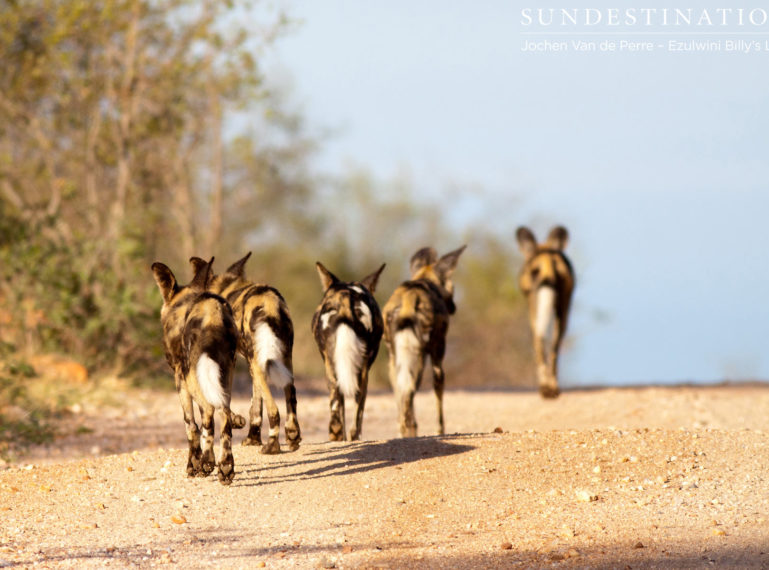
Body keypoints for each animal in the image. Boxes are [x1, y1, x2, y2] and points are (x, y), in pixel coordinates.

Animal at [151, 258, 243, 484]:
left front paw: (193, 465)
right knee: (223, 415)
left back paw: (207, 463)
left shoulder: (180, 379)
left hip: (191, 376)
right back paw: (225, 467)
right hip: (226, 370)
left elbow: (191, 426)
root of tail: (211, 312)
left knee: (209, 413)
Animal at [189, 253, 300, 452]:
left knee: (273, 409)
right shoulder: (252, 364)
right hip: (282, 359)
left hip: (259, 364)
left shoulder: (235, 361)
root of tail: (269, 303)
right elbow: (255, 406)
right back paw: (293, 436)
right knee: (291, 395)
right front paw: (253, 438)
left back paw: (272, 445)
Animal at [380, 244, 464, 434]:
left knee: (400, 395)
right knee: (409, 394)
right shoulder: (437, 352)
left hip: (395, 359)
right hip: (419, 358)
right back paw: (411, 431)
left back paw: (404, 431)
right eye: (453, 286)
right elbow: (438, 390)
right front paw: (440, 431)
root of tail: (409, 299)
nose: (454, 307)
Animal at [512, 224, 572, 398]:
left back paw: (545, 388)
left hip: (535, 305)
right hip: (562, 310)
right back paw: (553, 388)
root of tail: (546, 259)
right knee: (554, 347)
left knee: (538, 341)